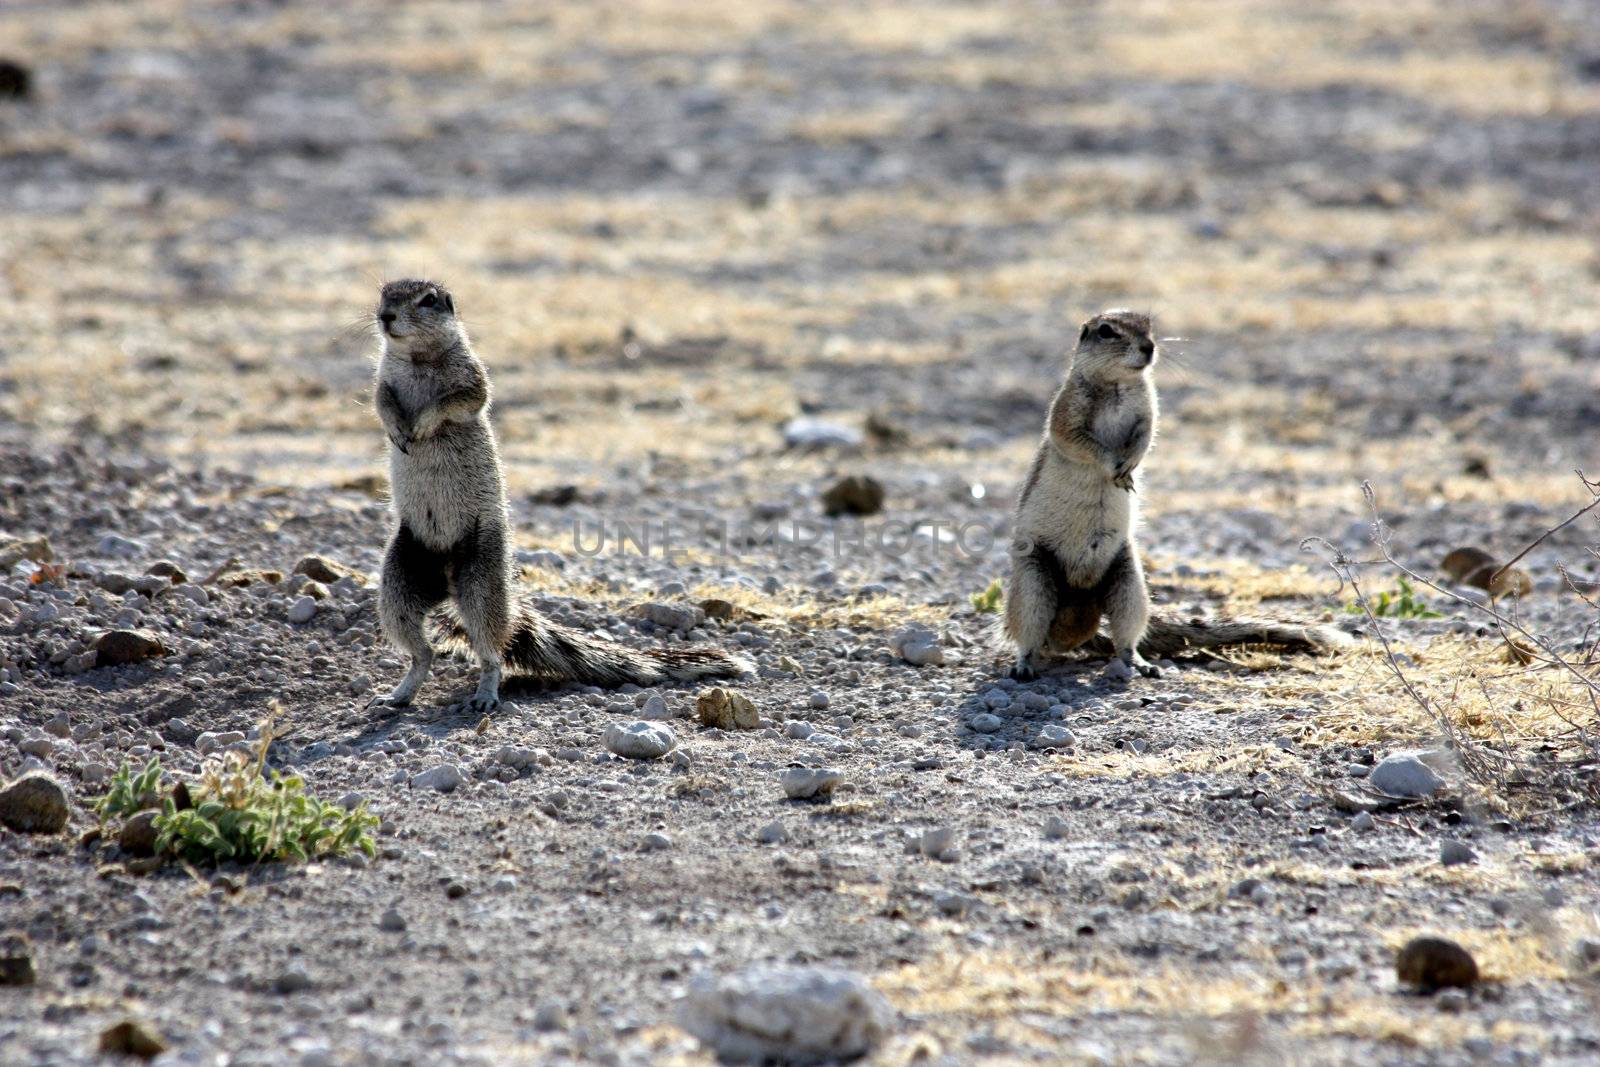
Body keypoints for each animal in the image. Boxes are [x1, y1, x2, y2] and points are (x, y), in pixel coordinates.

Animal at [366, 279, 752, 713]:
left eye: (428, 300)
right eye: (384, 294)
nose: (385, 316)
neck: (417, 356)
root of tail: (448, 582)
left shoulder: (472, 377)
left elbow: (462, 399)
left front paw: (423, 424)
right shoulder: (383, 379)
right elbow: (382, 400)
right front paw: (397, 428)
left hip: (482, 577)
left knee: (491, 650)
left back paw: (485, 695)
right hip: (399, 579)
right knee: (423, 651)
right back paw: (399, 694)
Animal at [1004, 308, 1344, 681]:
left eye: (1149, 325)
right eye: (1106, 331)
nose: (1149, 347)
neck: (1119, 383)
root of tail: (1078, 614)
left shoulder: (1148, 411)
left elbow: (1146, 436)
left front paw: (1130, 467)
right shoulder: (1067, 410)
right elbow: (1078, 440)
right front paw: (1114, 466)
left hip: (1130, 584)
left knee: (1127, 635)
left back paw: (1140, 663)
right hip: (1033, 582)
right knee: (1028, 632)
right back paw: (1024, 664)